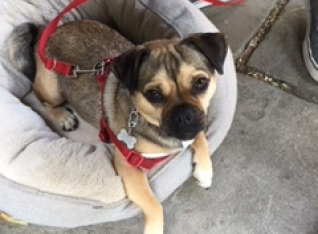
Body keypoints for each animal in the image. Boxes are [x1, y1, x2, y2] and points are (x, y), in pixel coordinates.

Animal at [6, 19, 226, 234]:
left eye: (201, 83)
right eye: (154, 94)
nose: (184, 116)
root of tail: (46, 30)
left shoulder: (196, 125)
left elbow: (200, 137)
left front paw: (204, 171)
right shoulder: (129, 167)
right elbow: (154, 205)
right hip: (51, 90)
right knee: (43, 100)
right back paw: (63, 116)